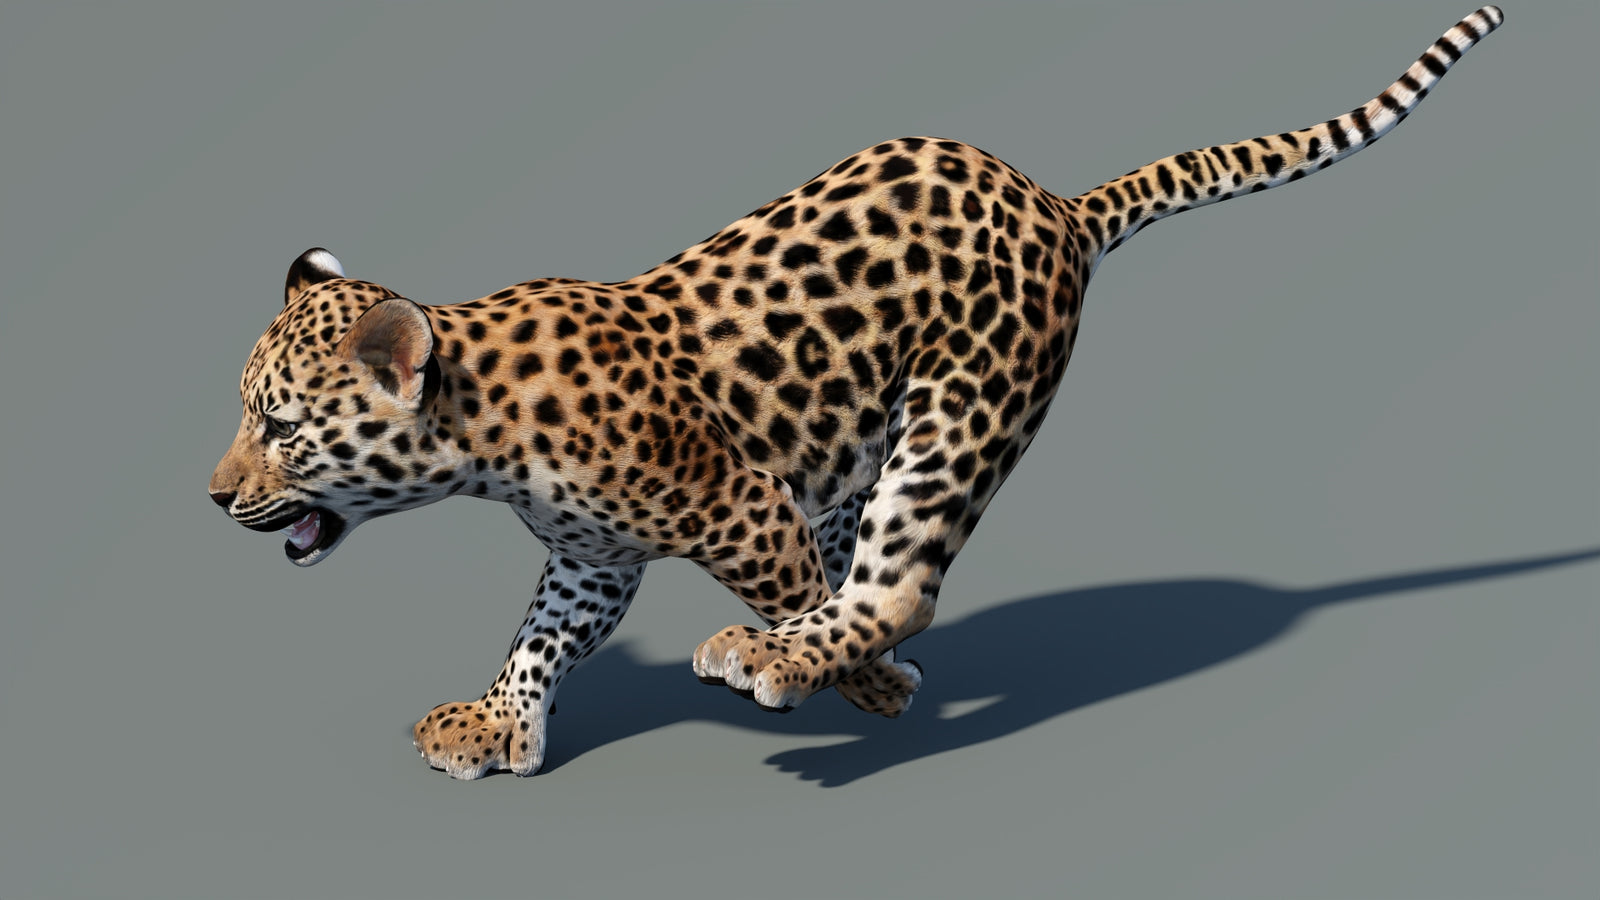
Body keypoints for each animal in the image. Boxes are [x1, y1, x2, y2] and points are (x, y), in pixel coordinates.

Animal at [209, 8, 1503, 779]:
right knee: (861, 550)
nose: (215, 497)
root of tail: (1056, 203)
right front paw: (496, 721)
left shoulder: (738, 507)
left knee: (898, 580)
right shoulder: (594, 556)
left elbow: (800, 591)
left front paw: (845, 679)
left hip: (962, 410)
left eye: (280, 426)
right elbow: (542, 637)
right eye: (248, 416)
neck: (481, 428)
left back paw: (795, 659)